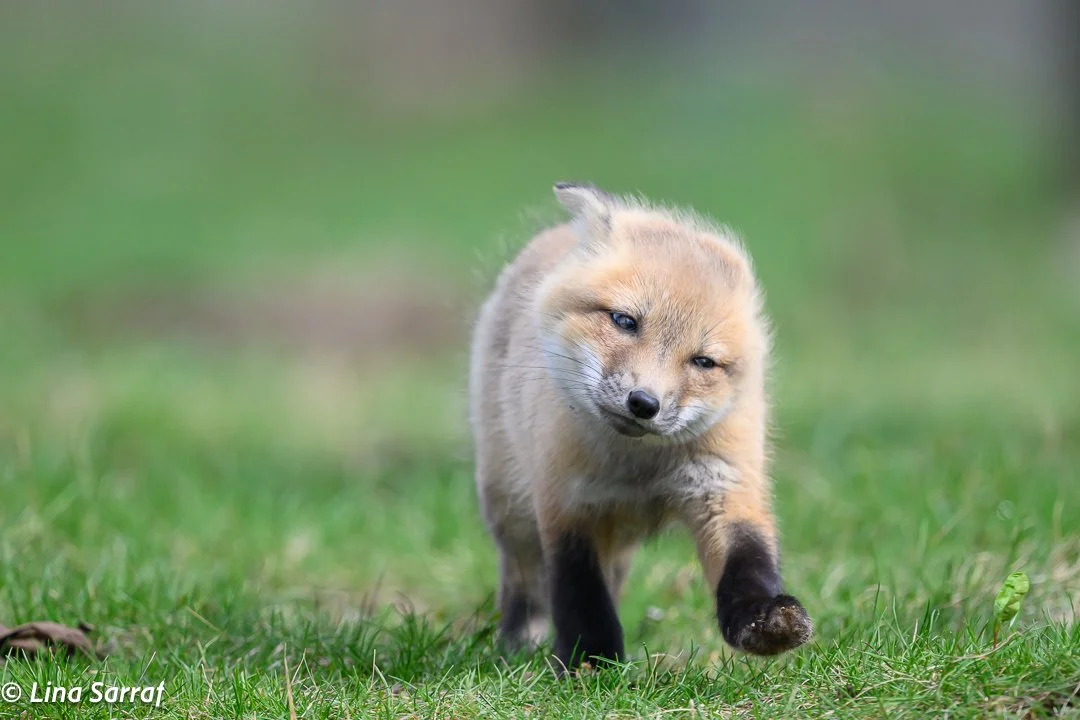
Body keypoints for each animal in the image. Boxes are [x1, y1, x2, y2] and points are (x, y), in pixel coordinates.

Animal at [468, 182, 812, 671]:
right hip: (509, 506)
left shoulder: (725, 488)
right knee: (526, 581)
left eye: (703, 361)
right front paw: (590, 660)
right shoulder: (567, 504)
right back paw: (521, 643)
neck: (638, 468)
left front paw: (763, 620)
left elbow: (749, 564)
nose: (644, 403)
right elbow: (580, 594)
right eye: (625, 321)